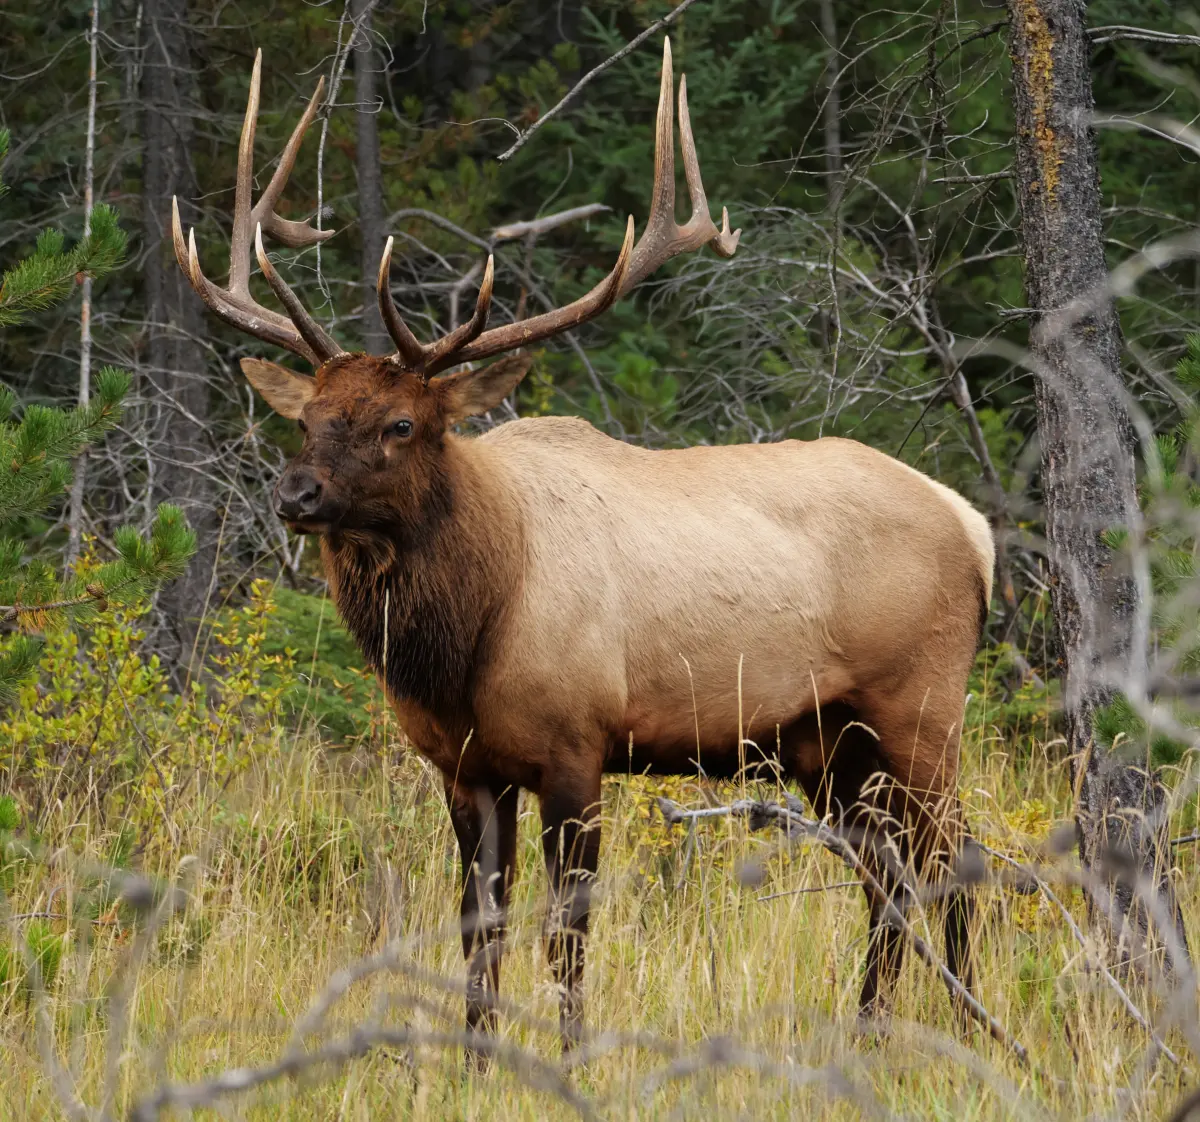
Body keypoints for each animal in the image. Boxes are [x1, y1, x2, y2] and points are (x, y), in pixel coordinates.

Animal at [172, 40, 994, 1055]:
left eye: (402, 423)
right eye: (308, 417)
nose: (297, 494)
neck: (469, 631)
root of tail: (973, 525)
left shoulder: (577, 745)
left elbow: (567, 929)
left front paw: (570, 1054)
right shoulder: (465, 769)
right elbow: (480, 925)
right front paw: (476, 1057)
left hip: (920, 705)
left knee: (956, 858)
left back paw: (968, 1032)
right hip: (823, 739)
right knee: (886, 873)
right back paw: (871, 1032)